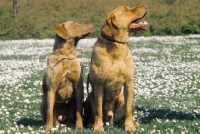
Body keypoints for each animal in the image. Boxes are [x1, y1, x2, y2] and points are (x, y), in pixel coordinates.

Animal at [86, 4, 148, 132]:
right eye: (126, 9)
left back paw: (133, 123)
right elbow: (98, 110)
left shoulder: (129, 82)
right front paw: (98, 127)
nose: (145, 5)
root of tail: (110, 120)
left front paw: (129, 126)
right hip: (90, 97)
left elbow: (128, 110)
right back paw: (92, 123)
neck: (117, 44)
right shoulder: (99, 85)